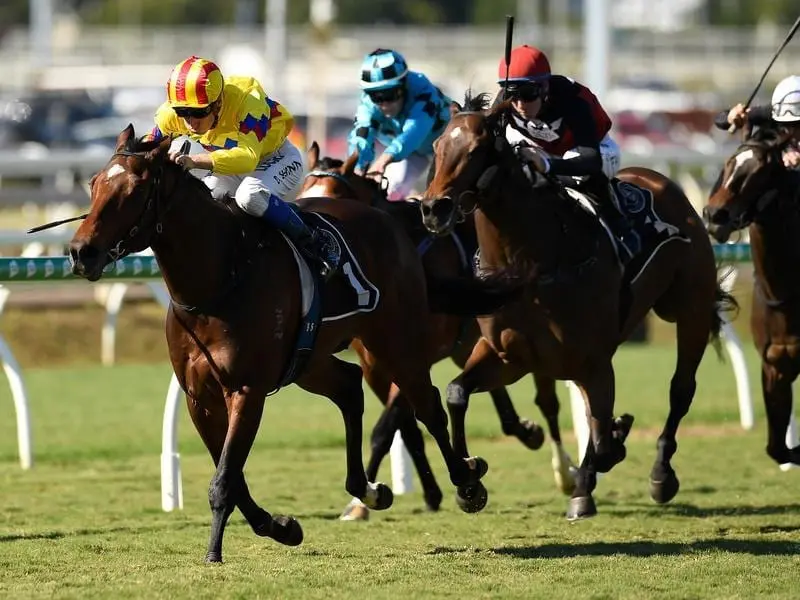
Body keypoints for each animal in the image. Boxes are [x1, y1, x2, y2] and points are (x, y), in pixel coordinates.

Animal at [69, 124, 520, 560]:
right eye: (93, 183)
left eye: (133, 190)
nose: (79, 252)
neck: (219, 279)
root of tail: (392, 226)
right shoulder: (200, 398)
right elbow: (232, 475)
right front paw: (280, 527)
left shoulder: (247, 390)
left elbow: (225, 478)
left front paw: (214, 551)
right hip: (312, 360)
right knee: (349, 386)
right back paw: (369, 490)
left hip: (397, 341)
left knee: (427, 405)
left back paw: (468, 482)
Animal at [302, 143, 580, 516]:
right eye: (301, 193)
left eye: (333, 196)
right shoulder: (376, 366)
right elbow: (406, 429)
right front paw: (430, 491)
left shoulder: (412, 354)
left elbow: (386, 428)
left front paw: (361, 501)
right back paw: (519, 431)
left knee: (547, 401)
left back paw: (564, 470)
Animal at [418, 94, 736, 520]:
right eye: (438, 146)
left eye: (475, 149)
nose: (433, 208)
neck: (531, 265)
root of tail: (661, 180)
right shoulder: (509, 356)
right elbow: (456, 393)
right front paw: (470, 483)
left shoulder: (589, 358)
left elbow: (602, 437)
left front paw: (595, 470)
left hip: (690, 311)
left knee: (680, 389)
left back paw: (659, 474)